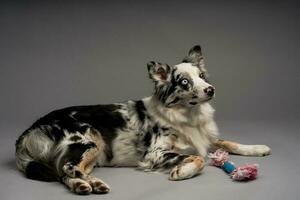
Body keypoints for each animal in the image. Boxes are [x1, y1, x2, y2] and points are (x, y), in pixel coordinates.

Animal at [15, 45, 270, 194]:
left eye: (201, 76)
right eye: (184, 82)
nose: (211, 89)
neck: (187, 116)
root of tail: (28, 131)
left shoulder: (203, 137)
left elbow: (228, 142)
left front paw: (257, 148)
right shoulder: (155, 153)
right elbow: (198, 158)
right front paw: (182, 172)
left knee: (64, 173)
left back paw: (88, 184)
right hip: (90, 140)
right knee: (68, 168)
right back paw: (85, 183)